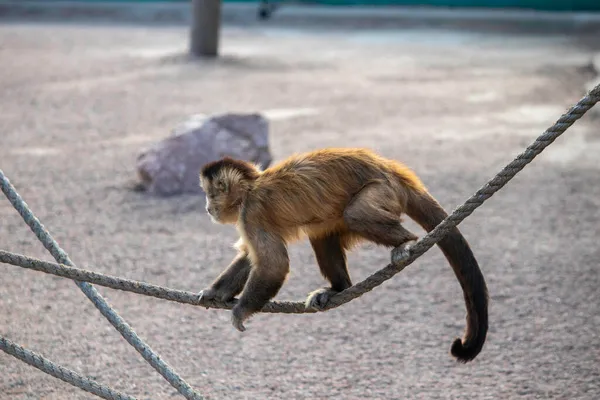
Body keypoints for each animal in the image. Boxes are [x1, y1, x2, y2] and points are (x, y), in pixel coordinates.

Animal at [197, 147, 488, 362]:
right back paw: (339, 288)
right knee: (322, 233)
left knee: (356, 214)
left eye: (210, 194)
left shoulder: (252, 211)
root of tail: (392, 170)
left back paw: (405, 242)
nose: (207, 208)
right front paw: (215, 293)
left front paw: (241, 311)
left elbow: (273, 264)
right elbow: (251, 257)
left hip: (384, 190)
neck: (251, 187)